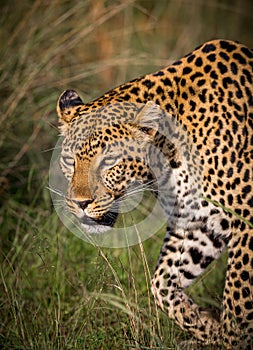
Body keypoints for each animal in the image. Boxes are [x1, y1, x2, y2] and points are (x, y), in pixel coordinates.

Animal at [55, 39, 253, 348]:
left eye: (109, 161)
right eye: (68, 160)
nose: (80, 203)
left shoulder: (246, 224)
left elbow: (238, 299)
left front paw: (230, 338)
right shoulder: (195, 220)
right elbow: (161, 283)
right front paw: (208, 326)